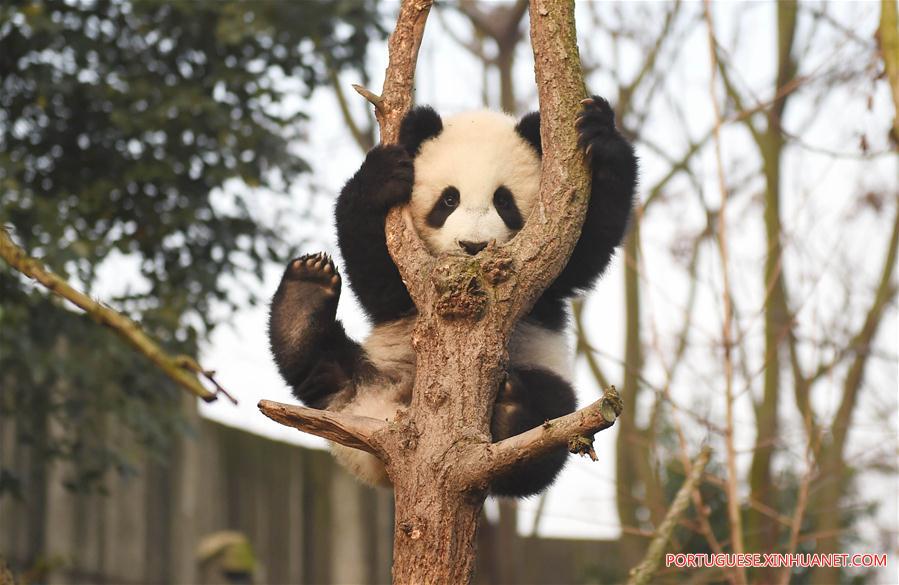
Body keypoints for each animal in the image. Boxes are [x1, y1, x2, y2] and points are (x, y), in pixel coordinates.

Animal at [268, 96, 636, 497]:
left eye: (504, 201)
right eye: (448, 200)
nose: (473, 246)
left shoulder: (546, 274)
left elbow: (587, 248)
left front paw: (599, 133)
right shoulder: (408, 281)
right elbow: (377, 280)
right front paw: (381, 177)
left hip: (543, 373)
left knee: (549, 423)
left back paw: (512, 413)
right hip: (369, 369)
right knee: (320, 369)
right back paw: (303, 298)